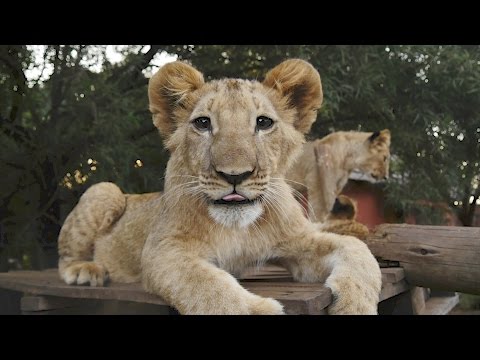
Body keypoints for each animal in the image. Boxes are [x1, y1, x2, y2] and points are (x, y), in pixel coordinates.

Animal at [58, 59, 380, 316]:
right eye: (203, 123)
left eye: (263, 123)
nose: (234, 175)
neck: (238, 229)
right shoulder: (163, 249)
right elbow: (207, 285)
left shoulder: (298, 239)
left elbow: (357, 248)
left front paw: (355, 305)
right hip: (105, 190)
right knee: (65, 256)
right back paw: (85, 271)